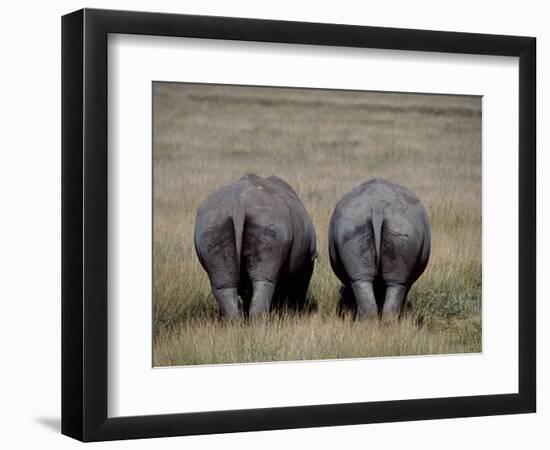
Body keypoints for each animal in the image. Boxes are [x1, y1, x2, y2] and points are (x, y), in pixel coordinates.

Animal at [195, 174, 320, 318]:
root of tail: (238, 205)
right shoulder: (309, 259)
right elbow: (300, 286)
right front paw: (296, 311)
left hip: (211, 224)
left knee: (223, 284)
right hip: (267, 220)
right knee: (264, 281)